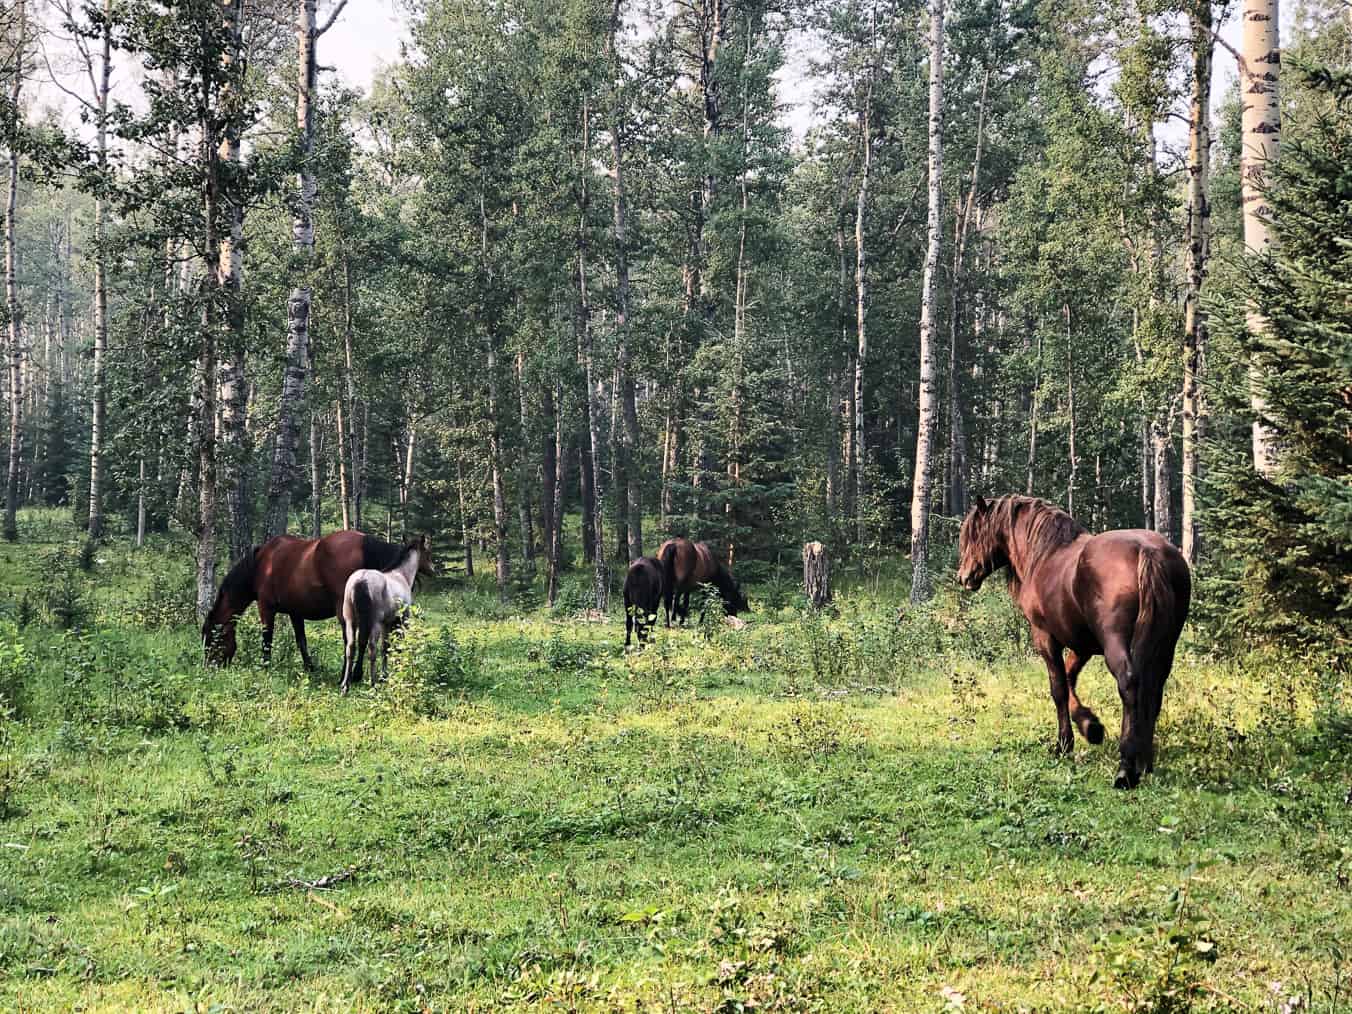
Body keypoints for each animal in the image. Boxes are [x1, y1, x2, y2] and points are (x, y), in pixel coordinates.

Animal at [202, 532, 413, 676]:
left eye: (212, 639)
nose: (210, 667)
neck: (261, 564)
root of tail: (365, 541)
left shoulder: (266, 608)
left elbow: (267, 639)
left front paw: (265, 667)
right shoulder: (295, 612)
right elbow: (301, 641)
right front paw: (310, 668)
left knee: (352, 641)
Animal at [957, 497, 1189, 789]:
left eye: (975, 533)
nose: (963, 577)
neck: (1044, 555)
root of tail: (1147, 551)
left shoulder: (1045, 637)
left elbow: (1058, 688)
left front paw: (1064, 743)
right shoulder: (1082, 647)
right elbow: (1069, 680)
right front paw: (1091, 727)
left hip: (1117, 645)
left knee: (1130, 685)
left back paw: (1125, 768)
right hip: (1164, 647)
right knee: (1153, 691)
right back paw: (1145, 763)